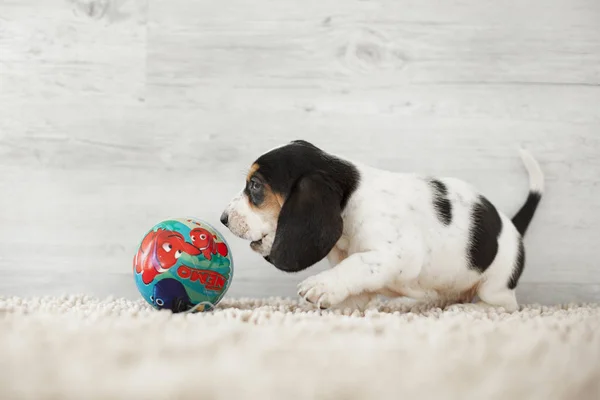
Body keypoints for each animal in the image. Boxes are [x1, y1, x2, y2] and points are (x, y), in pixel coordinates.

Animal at [219, 141, 544, 312]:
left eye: (255, 186)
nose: (223, 218)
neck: (349, 199)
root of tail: (513, 227)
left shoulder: (391, 256)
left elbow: (355, 265)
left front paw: (321, 285)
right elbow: (355, 287)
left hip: (496, 285)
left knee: (503, 305)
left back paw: (466, 309)